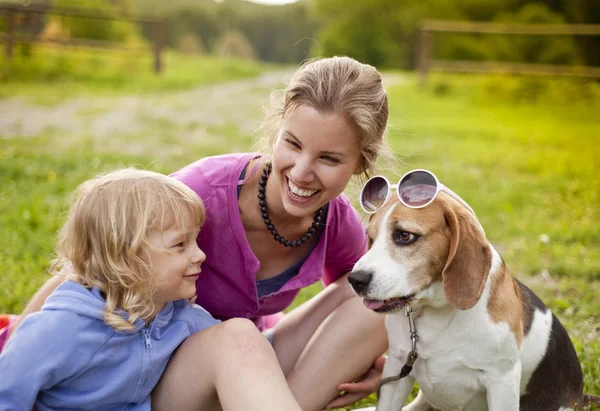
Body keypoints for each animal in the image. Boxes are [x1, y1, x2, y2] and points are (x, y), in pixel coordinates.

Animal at [346, 191, 584, 411]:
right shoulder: (396, 368)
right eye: (370, 238)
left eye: (405, 235)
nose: (355, 280)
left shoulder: (502, 380)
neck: (435, 314)